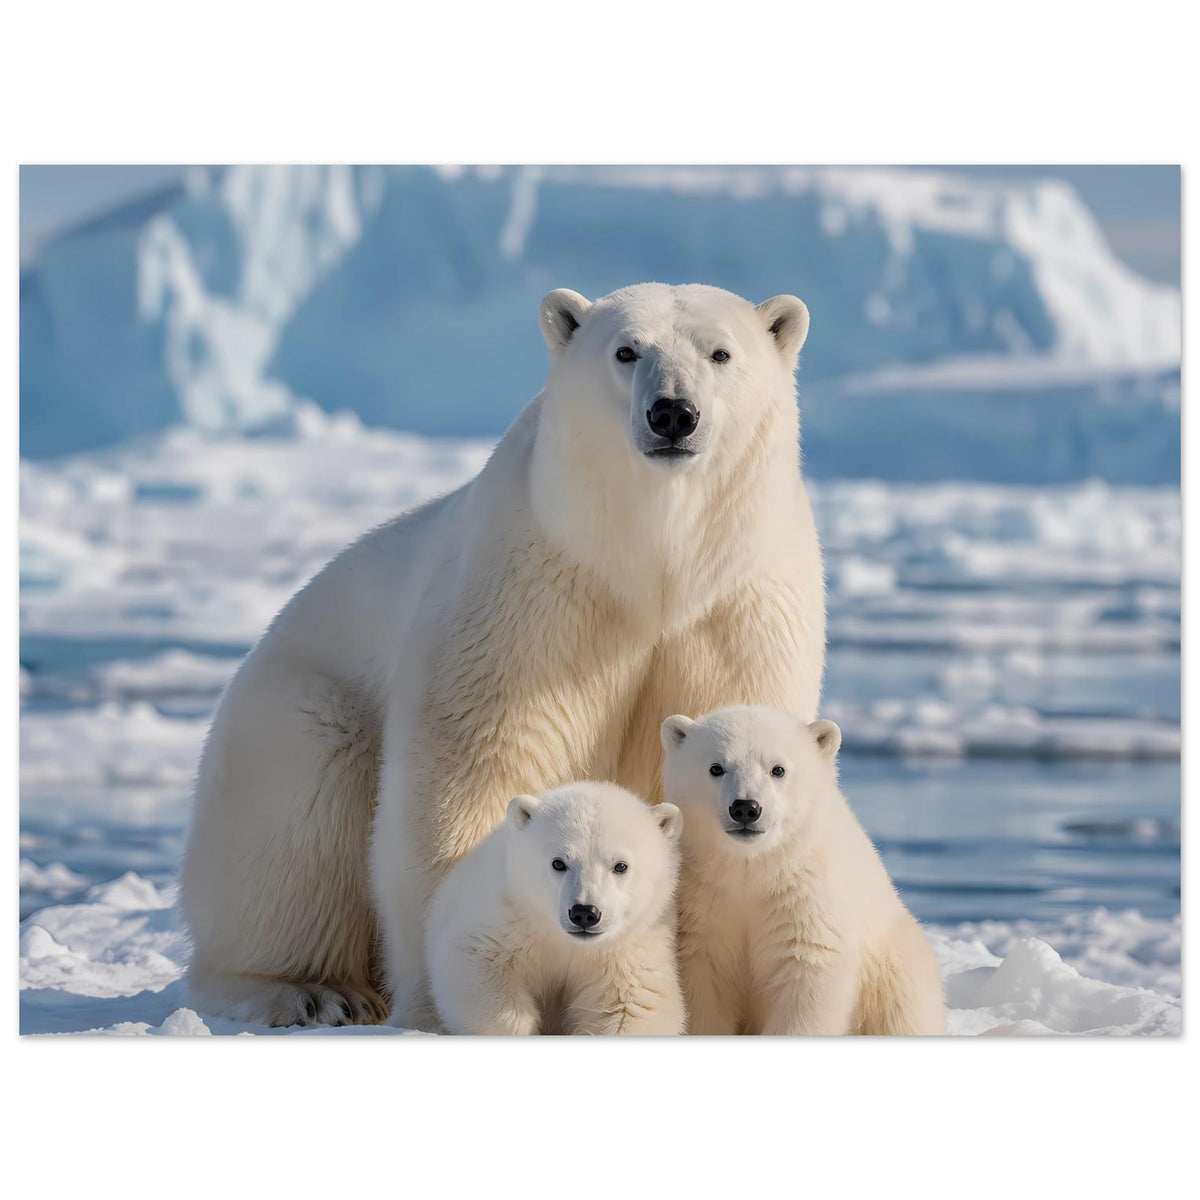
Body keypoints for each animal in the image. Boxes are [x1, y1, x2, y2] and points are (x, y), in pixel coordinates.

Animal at [425, 781, 686, 1035]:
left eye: (620, 866)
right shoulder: (506, 921)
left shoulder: (627, 953)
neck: (566, 943)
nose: (584, 913)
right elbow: (478, 966)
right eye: (558, 863)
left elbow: (632, 1006)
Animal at [661, 706, 946, 1036]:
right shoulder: (703, 902)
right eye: (716, 768)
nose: (745, 808)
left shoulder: (808, 897)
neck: (753, 867)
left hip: (892, 965)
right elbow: (704, 987)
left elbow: (807, 974)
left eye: (778, 769)